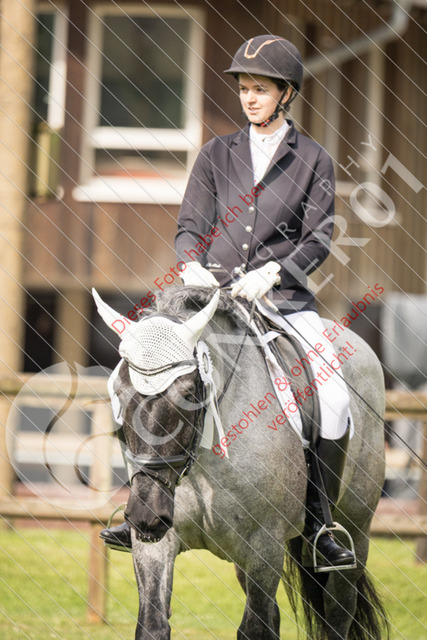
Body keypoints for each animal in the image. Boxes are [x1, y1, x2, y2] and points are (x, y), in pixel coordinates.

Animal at [93, 285, 388, 640]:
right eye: (119, 391)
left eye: (189, 393)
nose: (146, 515)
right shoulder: (155, 544)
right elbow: (152, 624)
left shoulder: (265, 547)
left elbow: (255, 628)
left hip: (356, 528)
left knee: (338, 608)